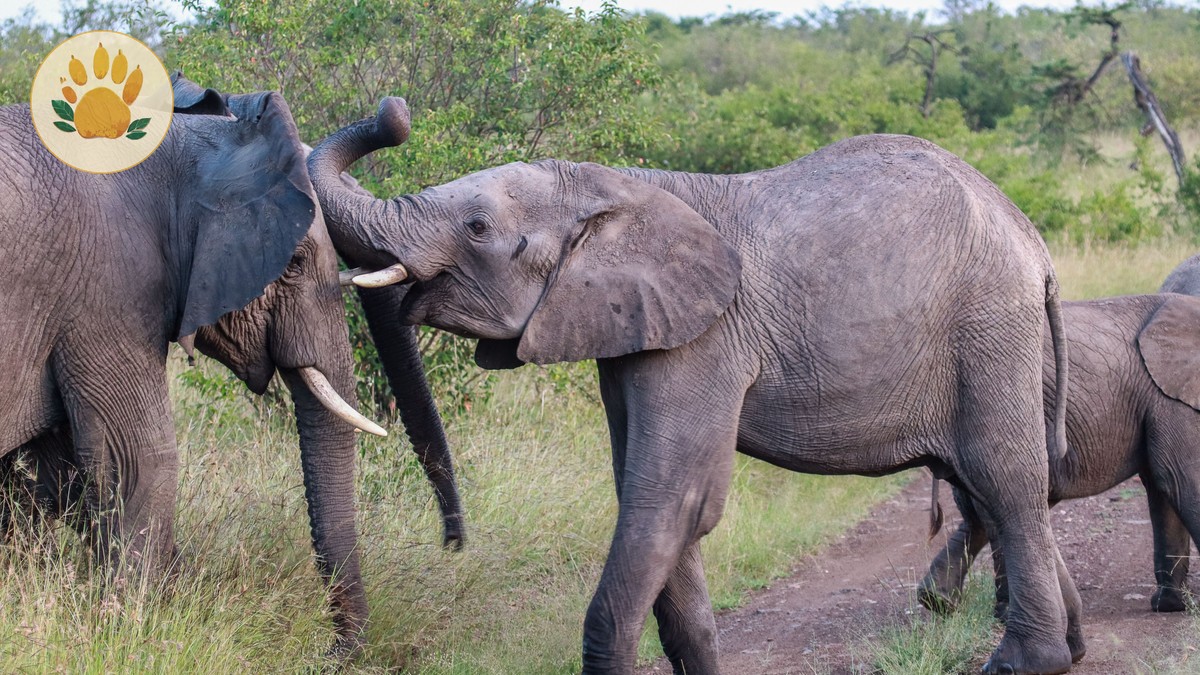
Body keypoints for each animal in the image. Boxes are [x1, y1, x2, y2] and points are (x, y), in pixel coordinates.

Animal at [0, 77, 463, 658]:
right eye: (292, 264)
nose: (452, 544)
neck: (182, 149)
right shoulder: (108, 290)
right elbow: (141, 459)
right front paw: (127, 630)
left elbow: (54, 472)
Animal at [307, 97, 1079, 674]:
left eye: (475, 226)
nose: (452, 542)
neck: (612, 182)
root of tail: (1031, 238)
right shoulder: (631, 332)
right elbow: (651, 495)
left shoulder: (703, 339)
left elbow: (673, 497)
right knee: (987, 486)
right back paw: (1071, 644)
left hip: (988, 323)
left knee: (1002, 476)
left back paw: (1024, 662)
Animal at [920, 254, 1200, 618]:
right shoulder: (1170, 398)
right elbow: (1179, 477)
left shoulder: (1158, 396)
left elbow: (1162, 485)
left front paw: (1169, 606)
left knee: (983, 513)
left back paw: (938, 600)